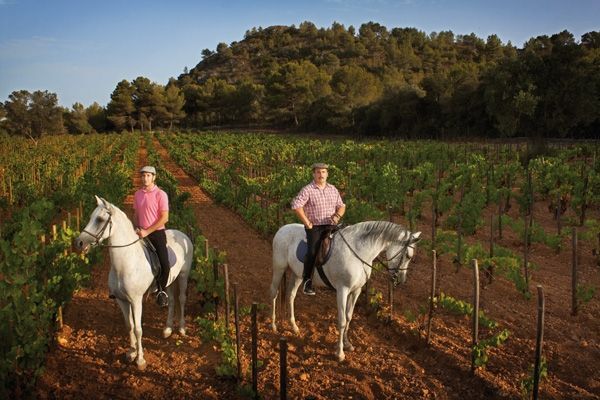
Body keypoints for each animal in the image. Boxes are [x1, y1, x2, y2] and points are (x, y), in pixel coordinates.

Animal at [74, 195, 193, 370]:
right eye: (90, 217)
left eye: (100, 219)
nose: (79, 243)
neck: (125, 262)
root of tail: (183, 235)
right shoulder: (122, 300)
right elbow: (129, 325)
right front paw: (131, 353)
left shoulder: (136, 301)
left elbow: (138, 329)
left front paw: (140, 359)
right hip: (171, 280)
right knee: (171, 301)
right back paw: (167, 329)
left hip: (183, 276)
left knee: (182, 299)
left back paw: (182, 329)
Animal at [270, 220, 420, 360]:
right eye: (408, 256)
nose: (401, 280)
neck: (358, 251)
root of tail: (282, 229)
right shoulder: (342, 290)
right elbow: (342, 321)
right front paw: (340, 353)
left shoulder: (356, 291)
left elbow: (349, 317)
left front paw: (347, 344)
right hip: (279, 268)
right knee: (274, 293)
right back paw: (273, 326)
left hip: (297, 275)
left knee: (291, 296)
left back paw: (294, 327)